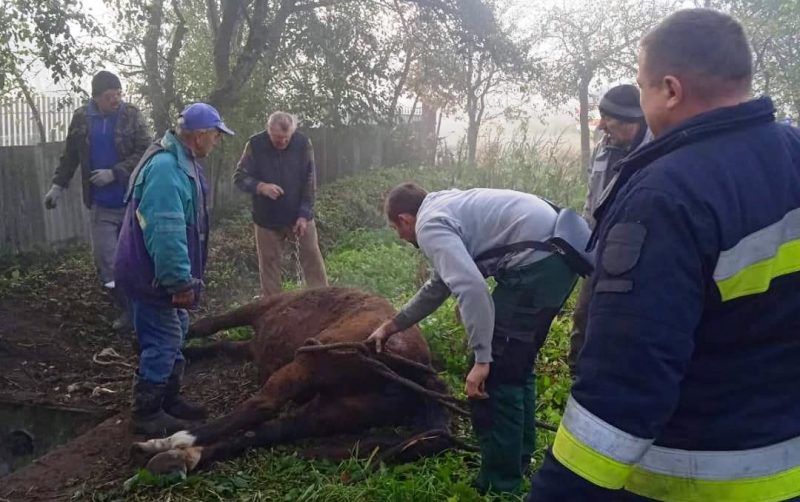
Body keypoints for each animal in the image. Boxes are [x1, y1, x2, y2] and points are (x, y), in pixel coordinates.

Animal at [134, 288, 454, 472]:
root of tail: (419, 367)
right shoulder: (251, 346)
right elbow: (221, 345)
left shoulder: (256, 311)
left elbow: (210, 324)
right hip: (330, 412)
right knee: (270, 431)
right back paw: (185, 456)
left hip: (305, 367)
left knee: (262, 408)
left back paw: (173, 441)